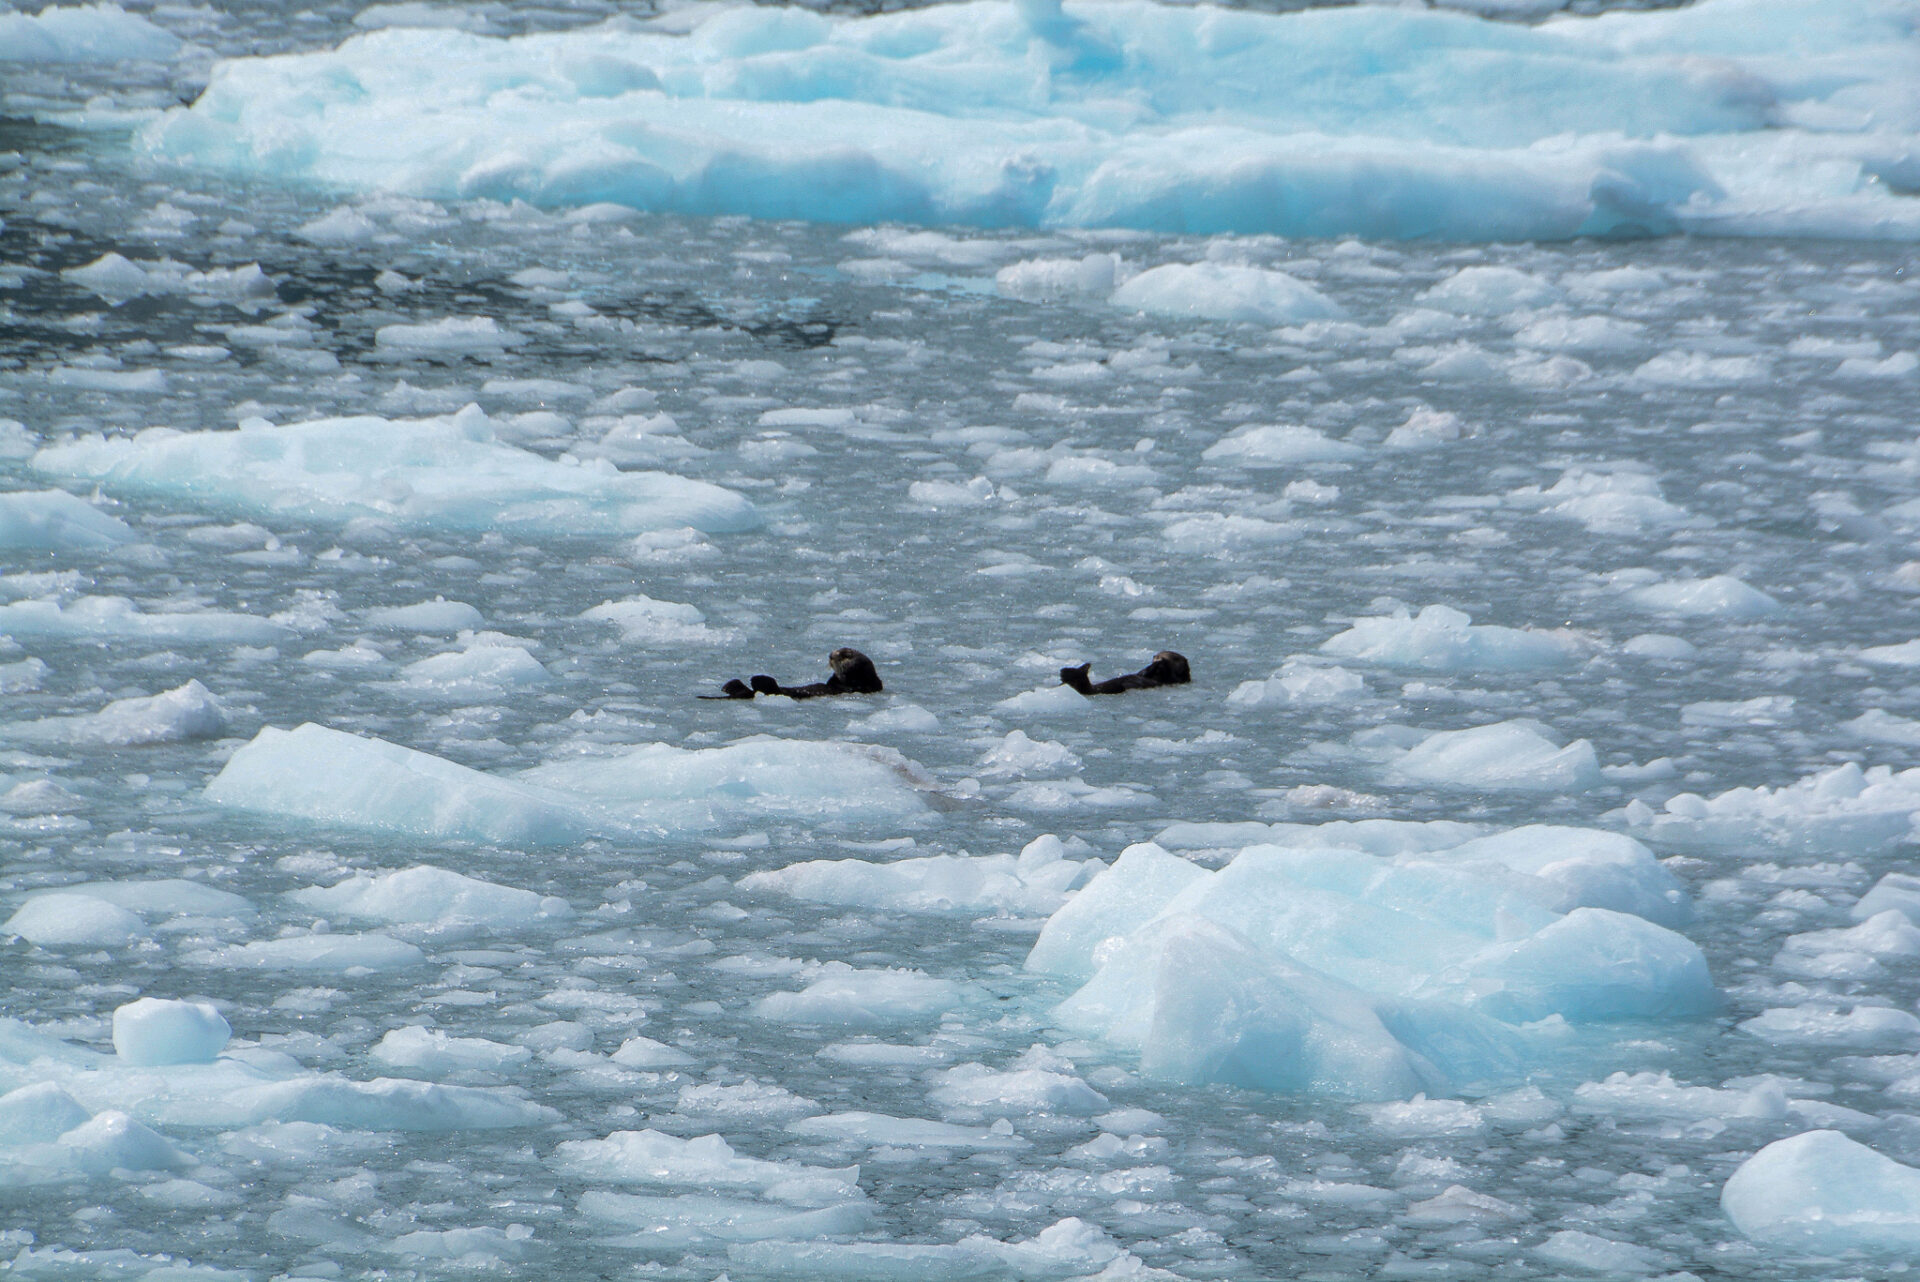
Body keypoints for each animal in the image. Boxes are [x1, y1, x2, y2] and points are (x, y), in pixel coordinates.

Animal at [1060, 650, 1190, 696]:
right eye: (1157, 655)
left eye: (1176, 658)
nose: (1158, 657)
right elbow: (1141, 673)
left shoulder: (1174, 679)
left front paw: (1161, 664)